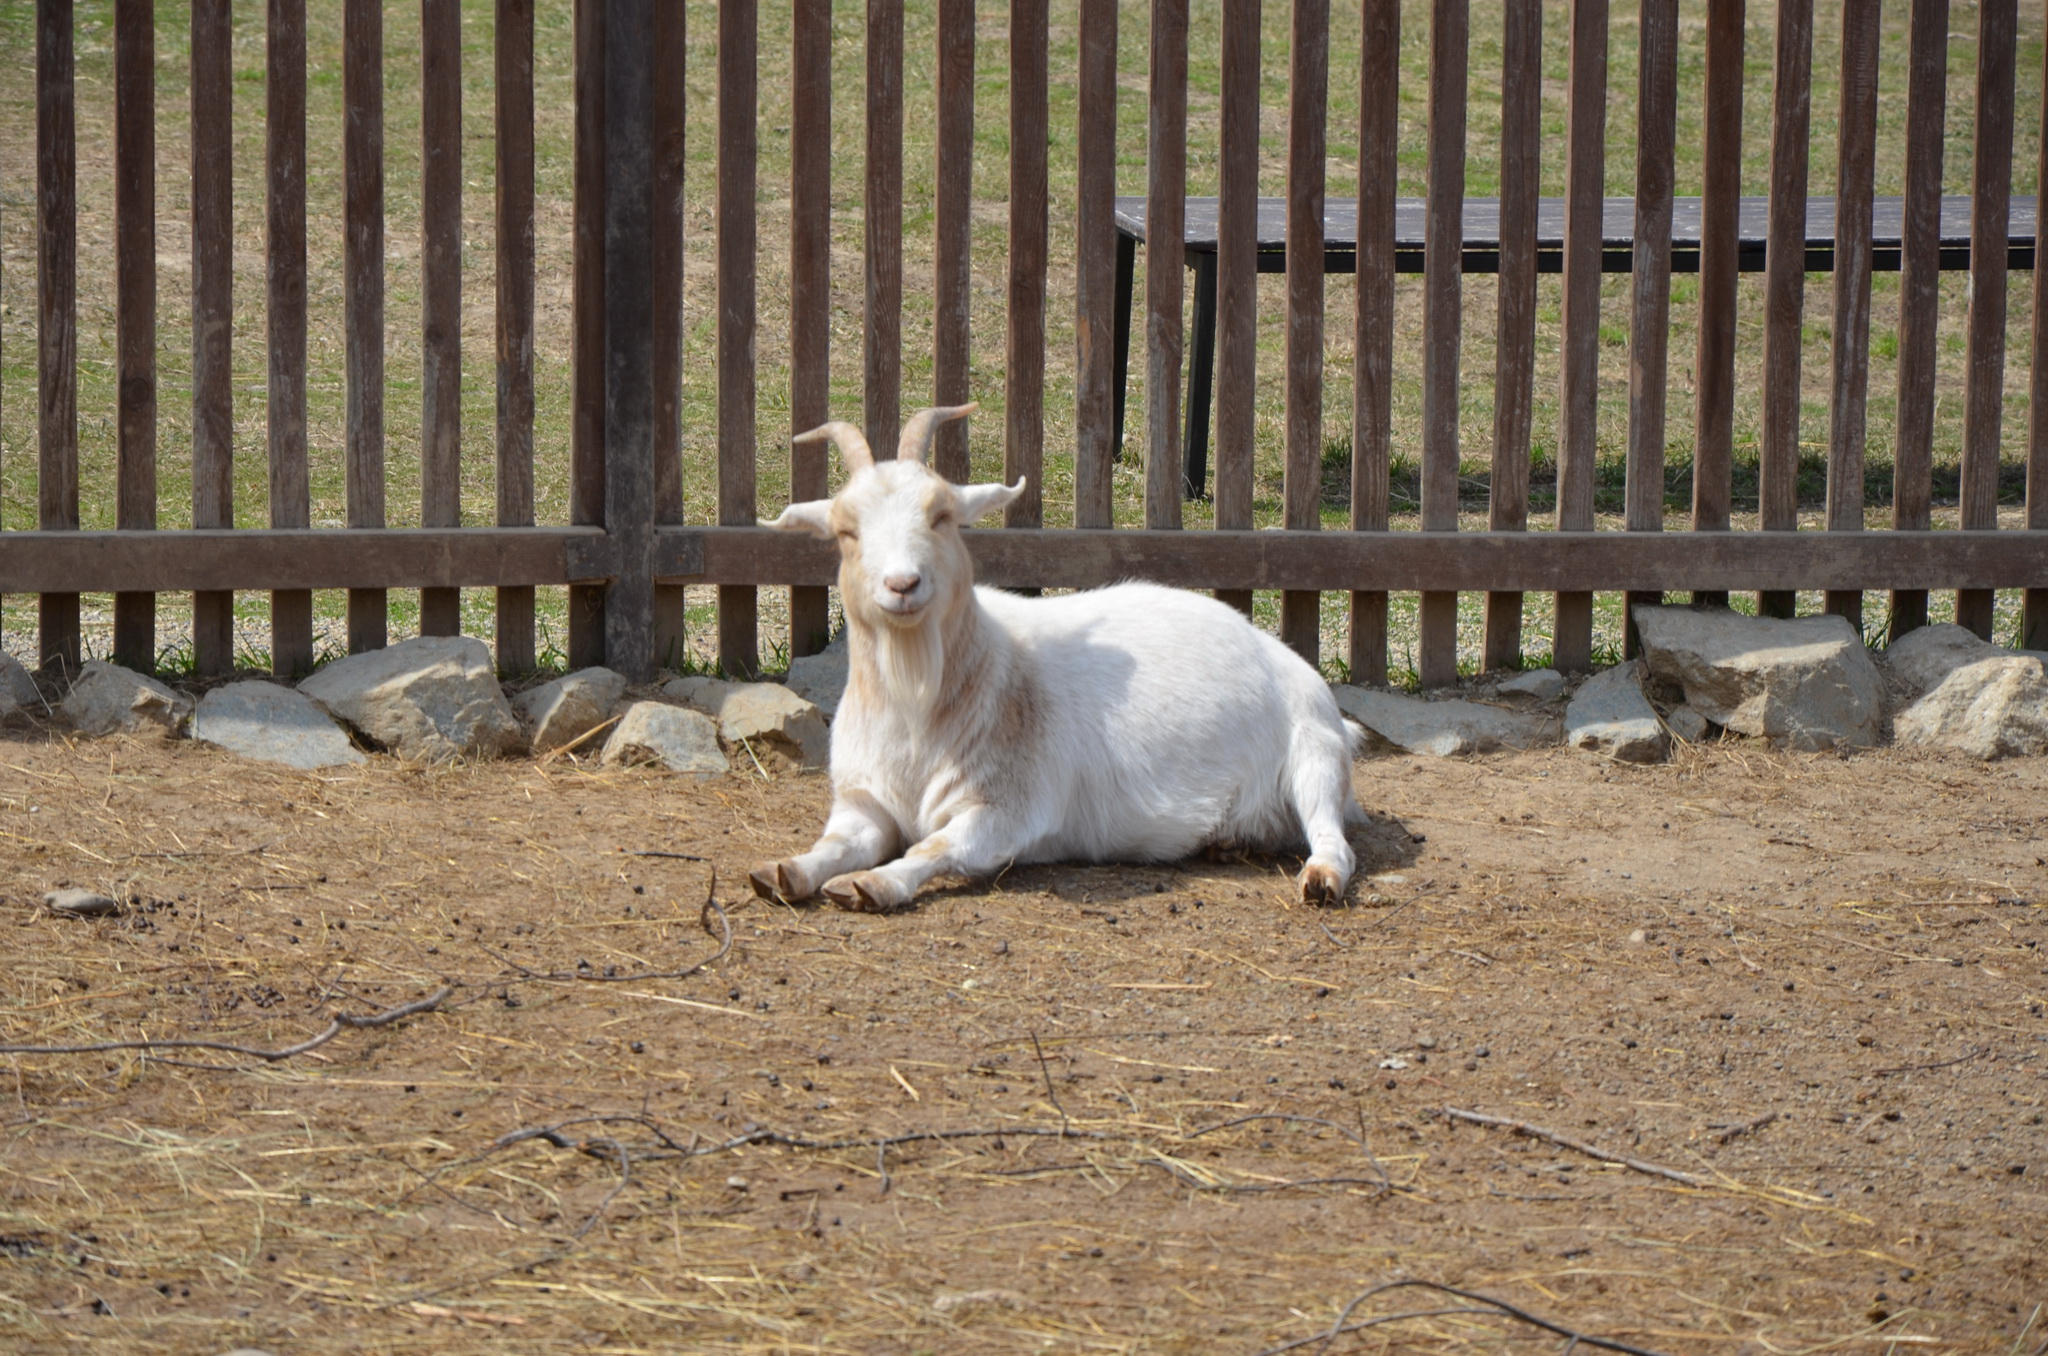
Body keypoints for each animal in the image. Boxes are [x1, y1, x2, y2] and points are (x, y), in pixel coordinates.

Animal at [749, 403, 1359, 913]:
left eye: (942, 515)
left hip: (1315, 751)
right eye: (846, 530)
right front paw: (783, 871)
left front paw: (870, 883)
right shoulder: (863, 801)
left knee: (1332, 834)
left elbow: (934, 846)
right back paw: (1228, 842)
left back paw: (1320, 879)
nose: (903, 584)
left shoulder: (1010, 808)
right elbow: (835, 843)